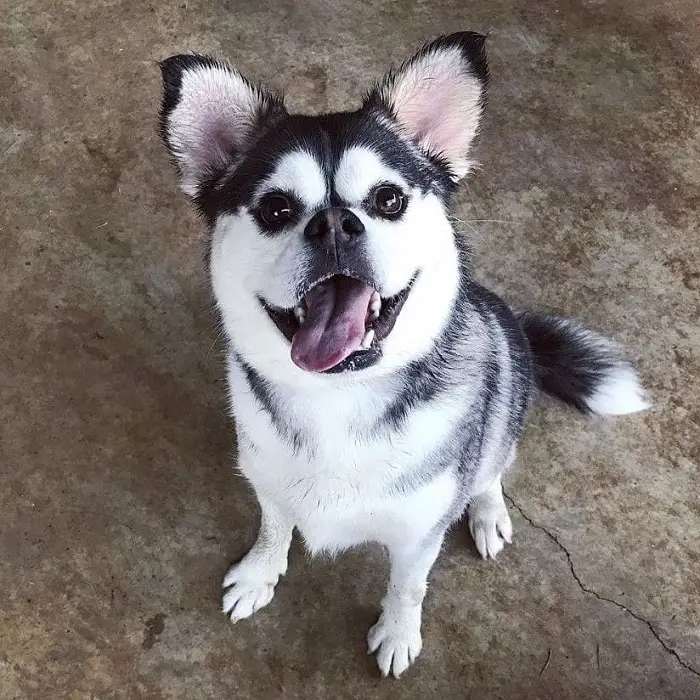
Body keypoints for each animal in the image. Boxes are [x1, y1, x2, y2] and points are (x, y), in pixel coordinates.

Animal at [160, 32, 652, 680]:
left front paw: (397, 633)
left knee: (495, 466)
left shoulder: (419, 534)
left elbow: (407, 587)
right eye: (276, 209)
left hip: (505, 401)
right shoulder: (269, 481)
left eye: (389, 199)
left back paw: (488, 513)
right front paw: (260, 575)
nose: (335, 224)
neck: (338, 398)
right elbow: (274, 527)